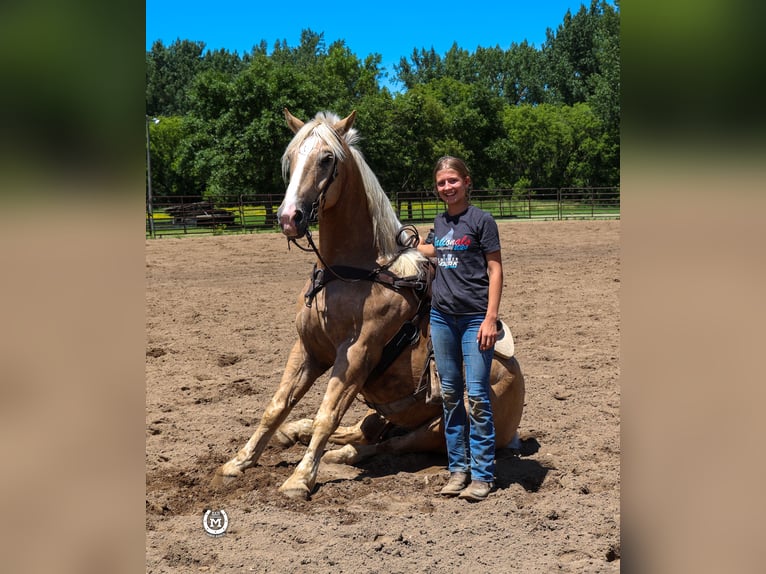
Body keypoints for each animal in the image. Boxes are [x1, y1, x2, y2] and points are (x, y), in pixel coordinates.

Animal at [212, 110, 525, 500]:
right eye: (292, 157)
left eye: (326, 158)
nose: (289, 217)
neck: (352, 274)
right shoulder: (307, 349)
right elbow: (276, 406)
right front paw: (238, 463)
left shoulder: (357, 354)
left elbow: (328, 414)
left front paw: (300, 479)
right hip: (386, 416)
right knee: (364, 430)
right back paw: (295, 432)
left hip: (439, 427)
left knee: (383, 445)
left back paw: (336, 454)